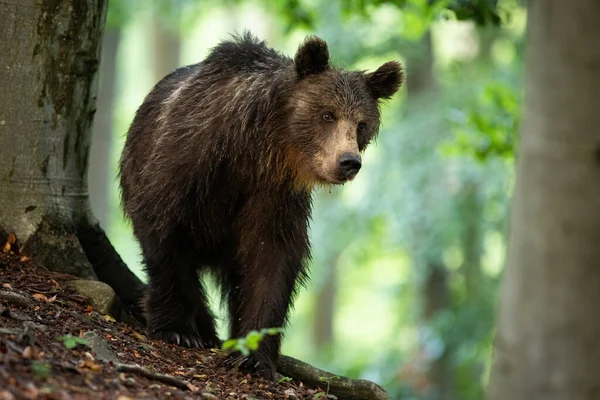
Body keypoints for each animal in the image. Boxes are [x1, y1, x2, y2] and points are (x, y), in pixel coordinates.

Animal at [118, 31, 404, 378]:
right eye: (327, 114)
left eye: (362, 124)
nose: (349, 161)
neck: (257, 146)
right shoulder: (189, 160)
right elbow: (162, 230)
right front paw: (178, 329)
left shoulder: (272, 194)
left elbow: (271, 258)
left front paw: (254, 355)